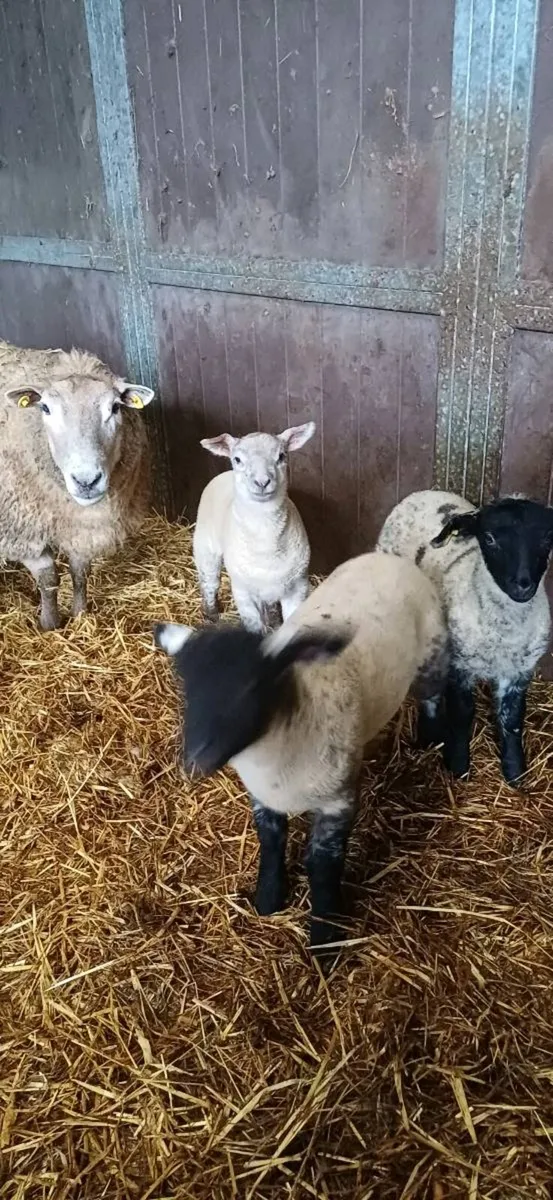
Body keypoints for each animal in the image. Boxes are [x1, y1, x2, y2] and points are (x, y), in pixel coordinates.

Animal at [0, 339, 154, 629]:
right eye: (45, 408)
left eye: (115, 408)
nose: (86, 481)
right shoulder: (20, 530)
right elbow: (49, 577)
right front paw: (50, 624)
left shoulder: (80, 527)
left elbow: (80, 571)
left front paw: (80, 614)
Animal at [154, 550, 449, 956]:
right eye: (186, 689)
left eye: (252, 687)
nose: (195, 760)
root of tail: (388, 558)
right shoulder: (263, 796)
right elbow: (271, 842)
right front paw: (268, 899)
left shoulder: (338, 802)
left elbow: (322, 865)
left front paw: (324, 938)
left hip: (432, 654)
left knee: (435, 698)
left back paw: (432, 743)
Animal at [193, 423, 315, 633]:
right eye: (237, 459)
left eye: (281, 456)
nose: (262, 482)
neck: (266, 542)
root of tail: (223, 475)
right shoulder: (243, 592)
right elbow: (255, 627)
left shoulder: (298, 586)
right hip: (205, 548)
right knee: (209, 582)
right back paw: (211, 615)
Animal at [377, 489, 553, 785]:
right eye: (490, 538)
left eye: (546, 538)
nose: (523, 585)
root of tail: (423, 493)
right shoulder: (459, 665)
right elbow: (462, 714)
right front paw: (458, 765)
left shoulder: (519, 671)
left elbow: (513, 719)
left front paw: (515, 773)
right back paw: (430, 733)